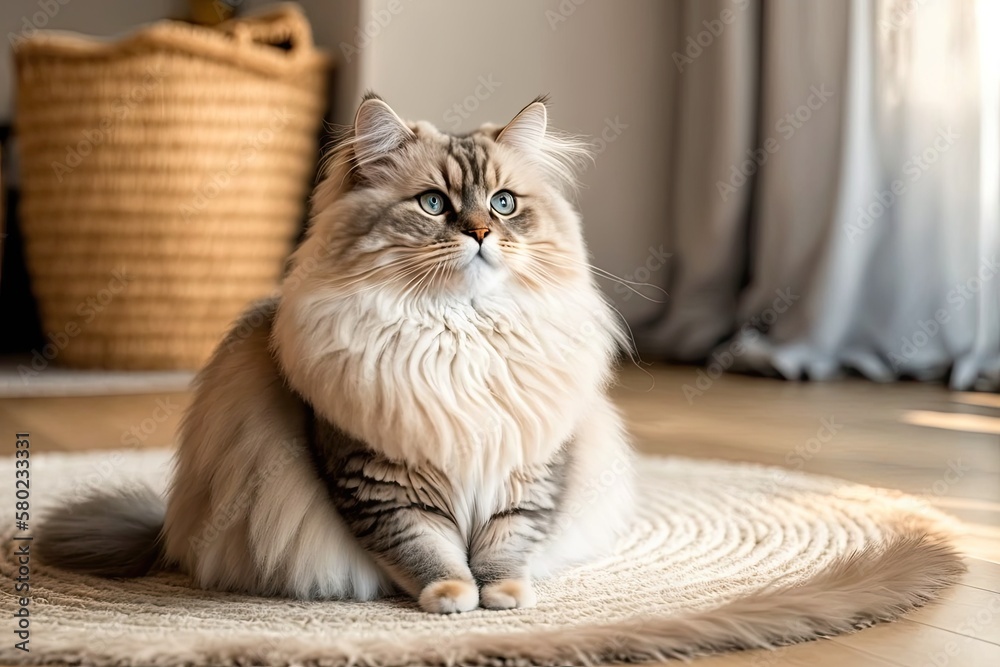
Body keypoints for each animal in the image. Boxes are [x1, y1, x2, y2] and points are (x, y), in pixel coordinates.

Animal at [39, 95, 636, 616]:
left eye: (504, 203)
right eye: (434, 203)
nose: (482, 232)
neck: (458, 335)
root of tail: (166, 533)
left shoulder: (527, 470)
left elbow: (506, 545)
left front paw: (506, 595)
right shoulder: (381, 480)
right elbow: (428, 550)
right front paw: (451, 597)